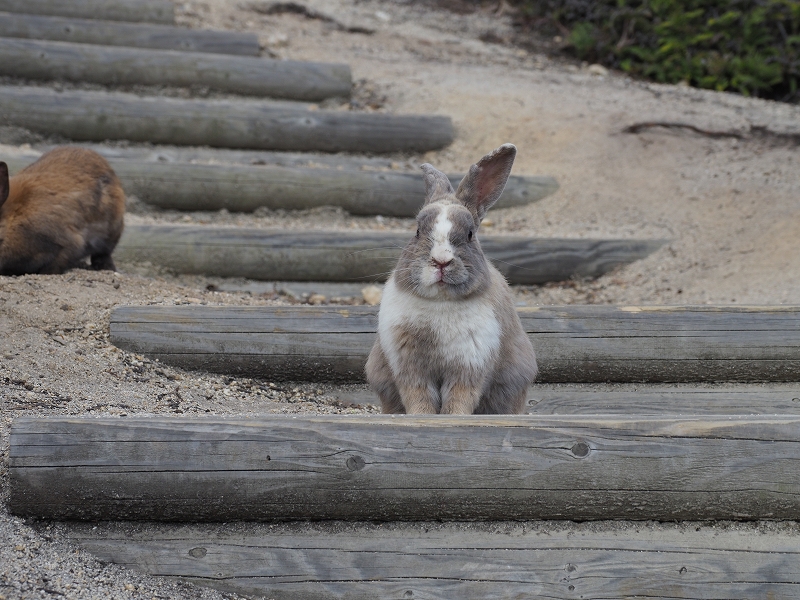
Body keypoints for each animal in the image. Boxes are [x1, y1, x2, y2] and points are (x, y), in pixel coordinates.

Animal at [368, 144, 536, 414]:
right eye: (417, 231)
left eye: (469, 234)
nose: (441, 261)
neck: (440, 301)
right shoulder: (409, 366)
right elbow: (418, 396)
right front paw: (421, 416)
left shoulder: (470, 365)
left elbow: (459, 398)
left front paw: (455, 416)